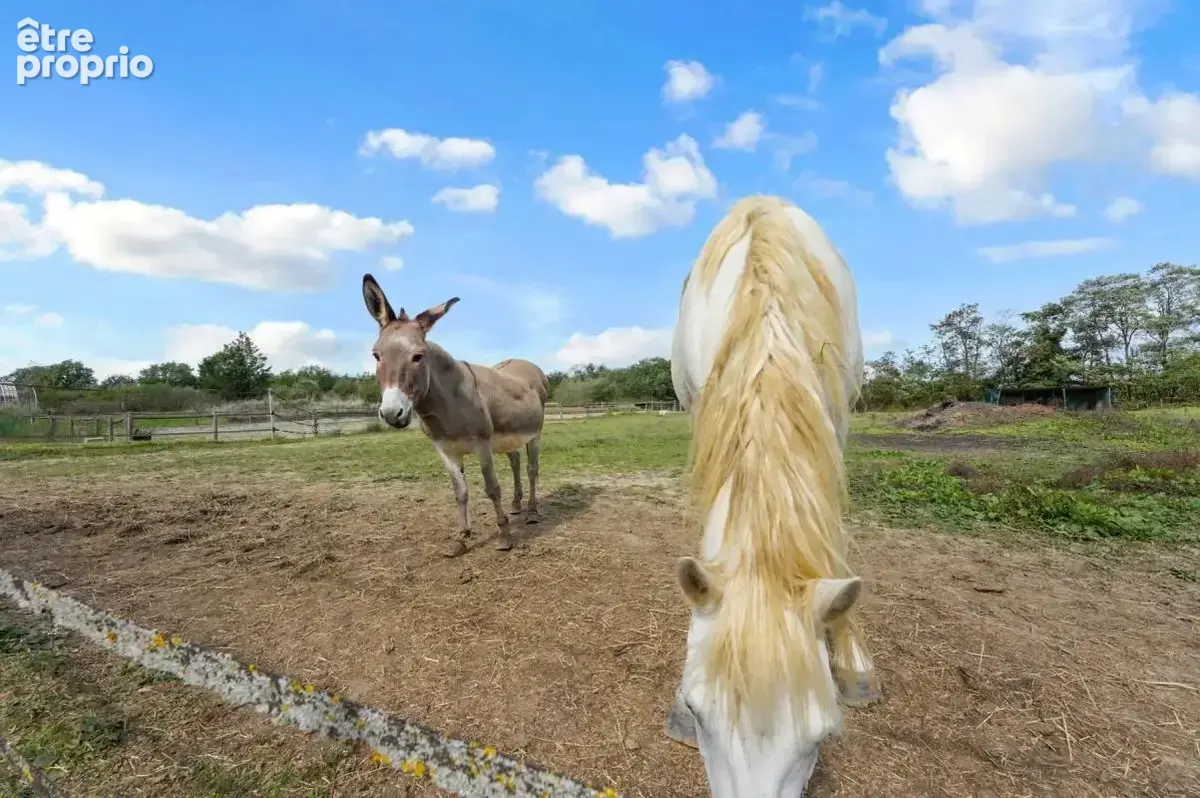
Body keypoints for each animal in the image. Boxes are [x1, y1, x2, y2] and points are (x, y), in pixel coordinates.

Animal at [361, 273, 550, 558]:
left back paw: (533, 512)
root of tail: (526, 364)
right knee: (516, 463)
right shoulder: (445, 450)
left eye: (418, 356)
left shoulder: (482, 444)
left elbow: (492, 489)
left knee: (531, 469)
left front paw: (504, 537)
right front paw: (461, 540)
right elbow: (460, 492)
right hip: (507, 439)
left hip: (535, 434)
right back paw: (517, 505)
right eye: (376, 355)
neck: (449, 400)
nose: (393, 414)